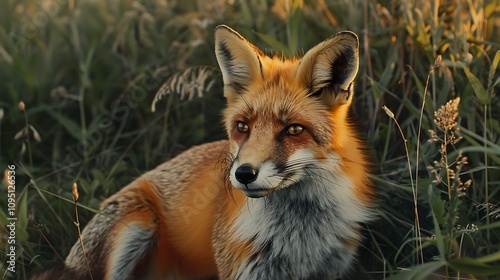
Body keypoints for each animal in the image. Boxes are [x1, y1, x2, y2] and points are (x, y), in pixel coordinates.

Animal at [32, 24, 372, 280]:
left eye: (294, 130)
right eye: (242, 127)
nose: (243, 174)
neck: (299, 236)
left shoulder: (334, 269)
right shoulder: (242, 270)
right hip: (137, 223)